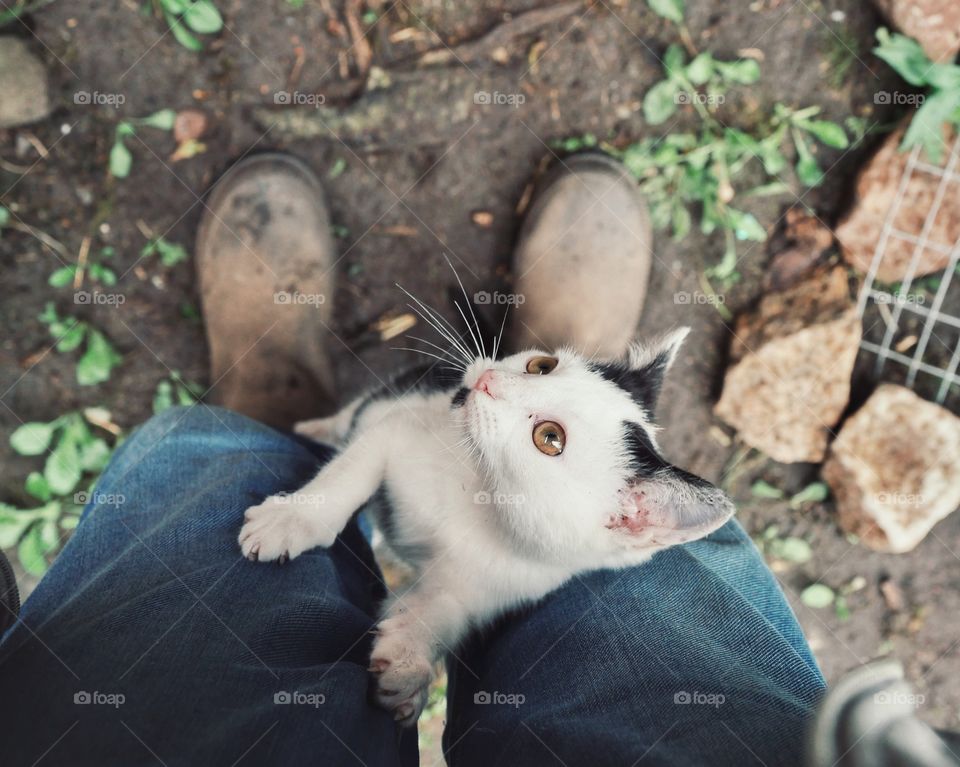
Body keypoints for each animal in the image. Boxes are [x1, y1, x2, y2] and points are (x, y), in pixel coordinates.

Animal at [236, 294, 732, 728]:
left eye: (550, 438)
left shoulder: (498, 582)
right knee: (353, 415)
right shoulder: (397, 429)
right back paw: (317, 430)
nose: (489, 379)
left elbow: (443, 609)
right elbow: (350, 470)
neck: (481, 495)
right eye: (541, 365)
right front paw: (291, 520)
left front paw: (408, 666)